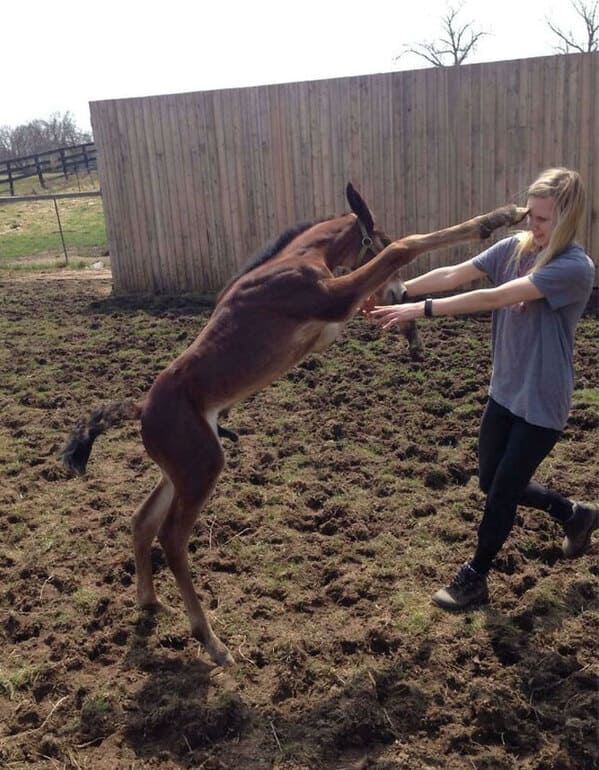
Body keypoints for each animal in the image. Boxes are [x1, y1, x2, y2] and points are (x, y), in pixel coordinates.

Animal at [61, 183, 526, 666]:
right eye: (377, 236)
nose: (401, 292)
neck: (296, 259)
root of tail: (141, 409)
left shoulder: (335, 315)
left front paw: (411, 335)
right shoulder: (332, 298)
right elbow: (404, 248)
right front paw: (499, 217)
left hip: (181, 471)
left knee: (141, 521)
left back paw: (151, 602)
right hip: (202, 469)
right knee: (172, 539)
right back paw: (211, 640)